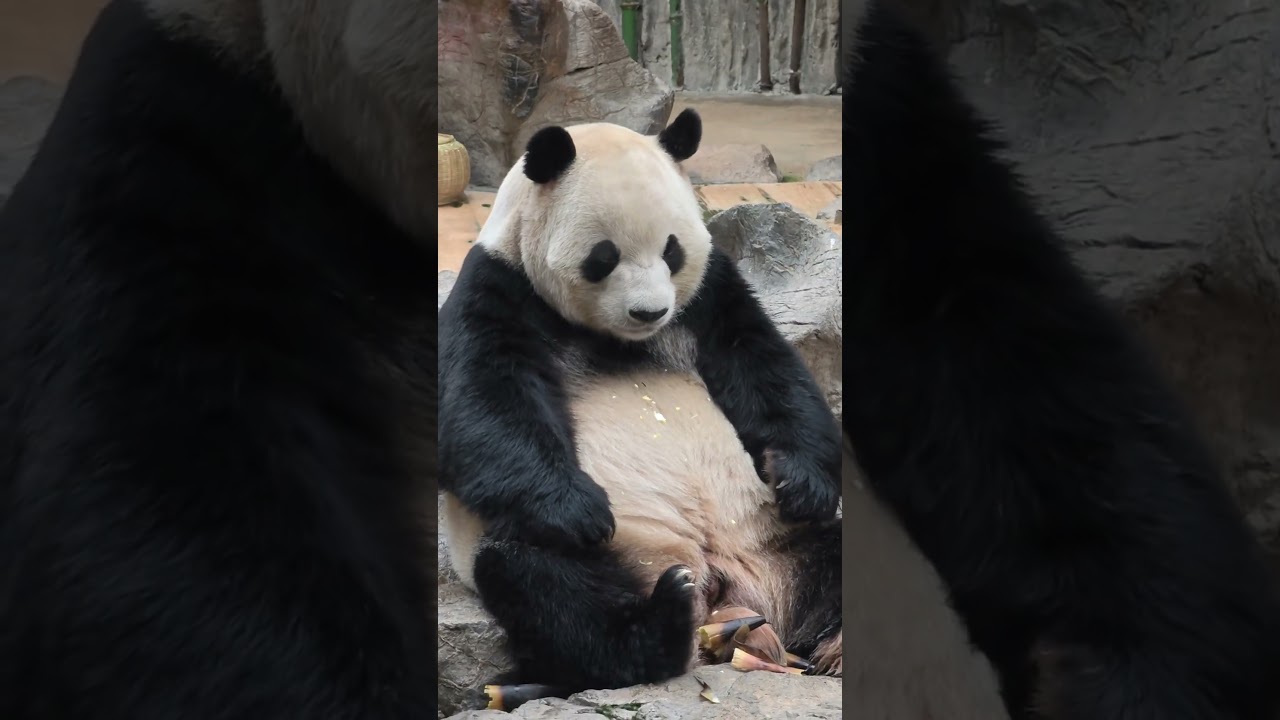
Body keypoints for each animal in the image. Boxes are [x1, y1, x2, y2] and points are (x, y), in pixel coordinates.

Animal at [438, 110, 1010, 717]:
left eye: (672, 252)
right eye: (604, 257)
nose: (650, 312)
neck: (614, 337)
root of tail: (727, 590)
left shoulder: (710, 292)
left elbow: (765, 366)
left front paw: (800, 480)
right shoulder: (498, 287)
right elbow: (481, 405)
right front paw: (579, 509)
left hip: (776, 537)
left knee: (862, 558)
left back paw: (844, 644)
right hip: (616, 550)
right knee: (543, 581)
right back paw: (663, 618)